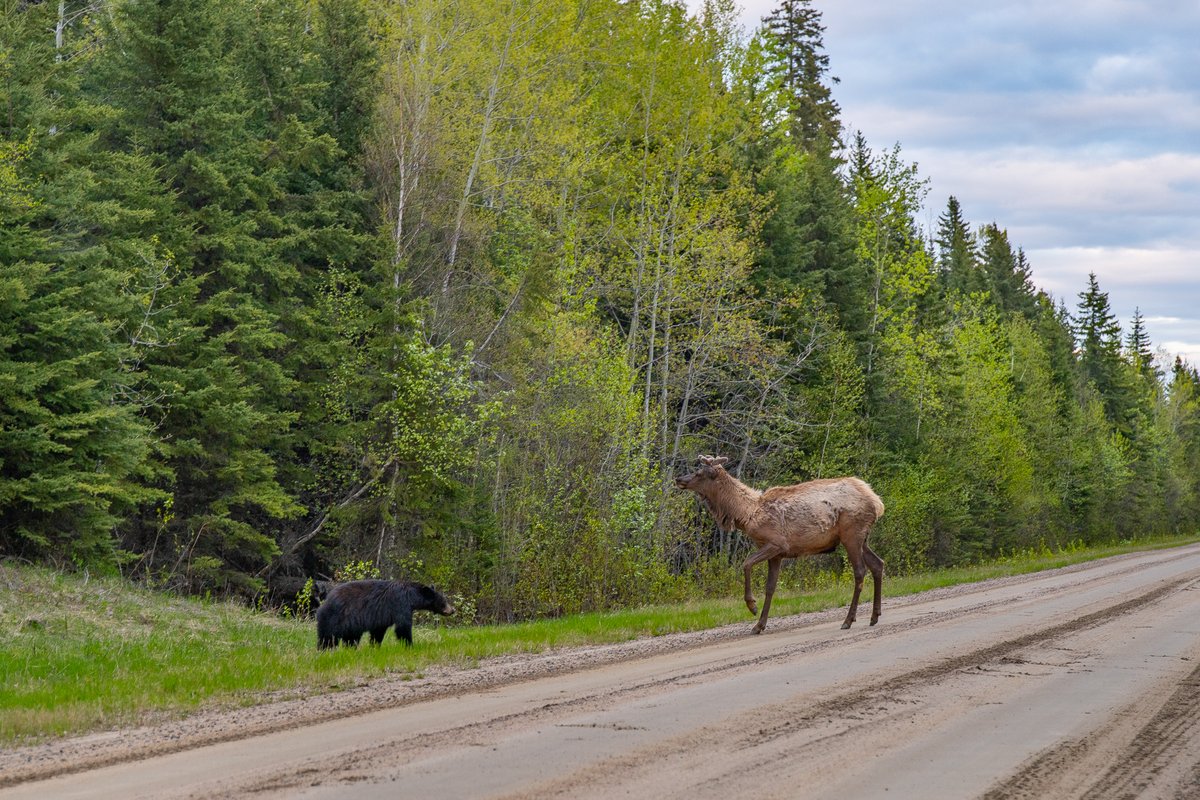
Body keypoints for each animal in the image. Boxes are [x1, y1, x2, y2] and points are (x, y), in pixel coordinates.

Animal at [314, 582, 453, 652]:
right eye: (443, 601)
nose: (453, 610)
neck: (411, 596)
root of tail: (324, 603)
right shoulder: (400, 604)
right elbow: (403, 627)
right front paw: (410, 645)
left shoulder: (381, 617)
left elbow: (378, 631)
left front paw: (375, 647)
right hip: (334, 618)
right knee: (327, 638)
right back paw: (324, 651)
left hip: (350, 626)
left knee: (351, 638)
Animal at [681, 455, 888, 633]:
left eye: (699, 473)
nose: (679, 479)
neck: (747, 515)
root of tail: (877, 502)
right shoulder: (776, 555)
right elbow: (770, 587)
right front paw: (759, 625)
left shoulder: (777, 543)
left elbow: (746, 563)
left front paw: (752, 606)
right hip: (861, 538)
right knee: (878, 564)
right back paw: (874, 616)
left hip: (851, 533)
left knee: (860, 571)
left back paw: (848, 620)